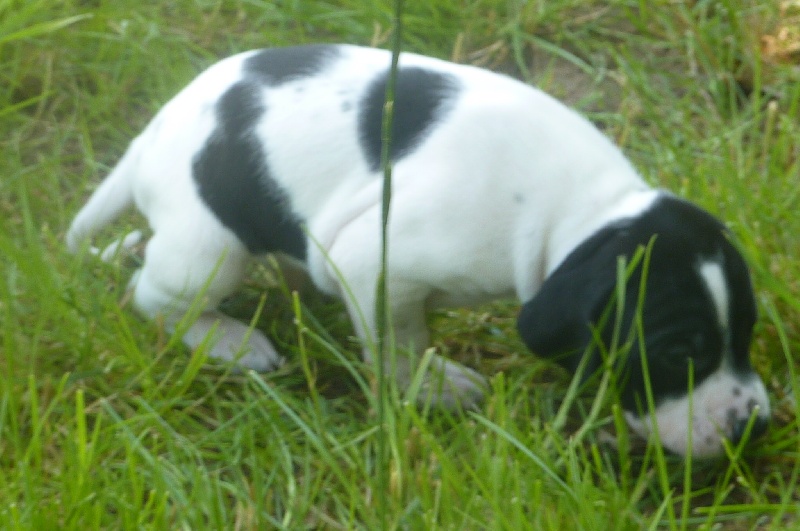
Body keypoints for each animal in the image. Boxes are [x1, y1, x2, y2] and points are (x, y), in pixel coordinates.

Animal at [67, 44, 770, 457]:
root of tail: (150, 136)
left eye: (746, 334)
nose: (755, 426)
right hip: (206, 251)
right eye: (677, 354)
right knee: (153, 295)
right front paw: (432, 386)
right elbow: (398, 343)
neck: (585, 208)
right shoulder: (374, 263)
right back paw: (227, 340)